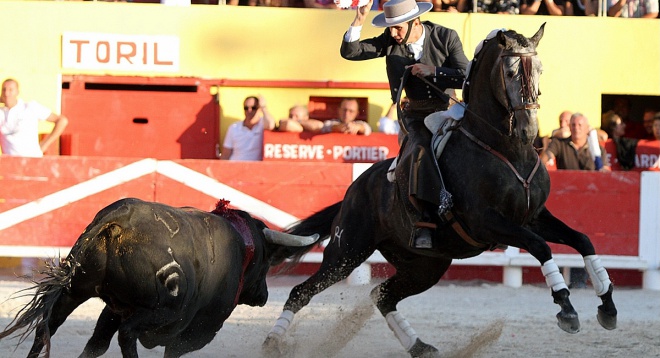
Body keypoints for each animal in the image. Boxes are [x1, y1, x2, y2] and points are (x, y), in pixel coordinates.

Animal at [0, 197, 322, 356]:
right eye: (267, 260)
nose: (264, 296)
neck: (240, 247)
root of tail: (119, 219)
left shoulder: (114, 308)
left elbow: (96, 345)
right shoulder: (197, 331)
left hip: (75, 290)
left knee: (47, 327)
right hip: (162, 309)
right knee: (127, 335)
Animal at [260, 25, 616, 358]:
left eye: (541, 68)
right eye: (511, 72)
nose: (529, 128)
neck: (507, 149)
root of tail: (355, 188)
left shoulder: (533, 217)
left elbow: (582, 239)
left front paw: (607, 305)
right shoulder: (488, 223)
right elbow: (541, 247)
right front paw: (566, 308)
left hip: (426, 264)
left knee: (382, 296)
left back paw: (420, 346)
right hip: (346, 251)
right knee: (302, 292)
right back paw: (270, 343)